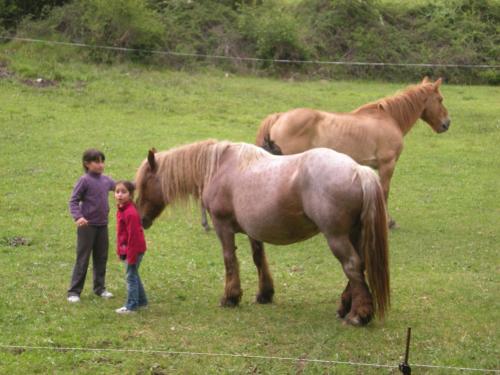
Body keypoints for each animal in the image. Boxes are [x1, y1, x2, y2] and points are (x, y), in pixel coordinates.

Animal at [136, 140, 390, 326]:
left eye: (143, 183)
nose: (141, 218)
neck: (219, 167)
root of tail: (359, 171)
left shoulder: (223, 226)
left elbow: (229, 259)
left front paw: (231, 297)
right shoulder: (253, 231)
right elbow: (259, 259)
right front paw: (265, 294)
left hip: (336, 237)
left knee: (352, 266)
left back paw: (358, 314)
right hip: (354, 234)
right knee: (358, 268)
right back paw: (346, 307)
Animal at [256, 77, 452, 229]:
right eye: (440, 99)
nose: (447, 123)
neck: (389, 119)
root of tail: (280, 116)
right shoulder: (387, 165)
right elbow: (385, 191)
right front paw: (388, 222)